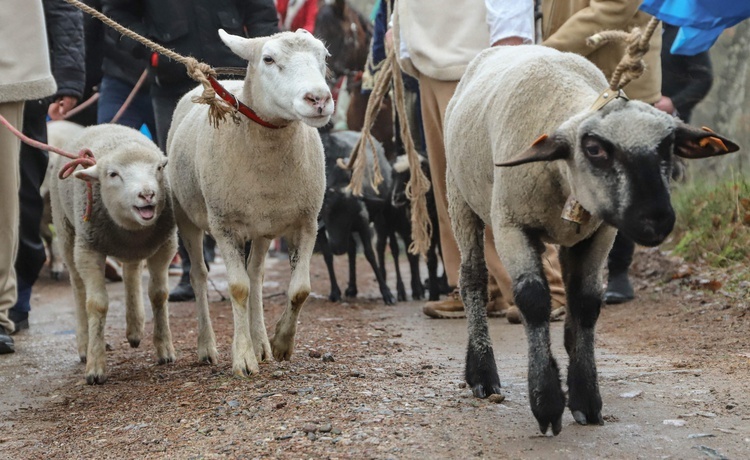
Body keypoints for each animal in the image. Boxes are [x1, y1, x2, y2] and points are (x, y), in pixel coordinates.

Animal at [50, 123, 179, 384]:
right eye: (113, 174)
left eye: (159, 168)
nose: (147, 194)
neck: (133, 230)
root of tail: (99, 125)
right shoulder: (89, 249)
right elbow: (96, 305)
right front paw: (95, 367)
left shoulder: (166, 244)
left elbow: (159, 294)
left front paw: (164, 349)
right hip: (66, 232)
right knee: (78, 287)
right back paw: (84, 345)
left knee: (131, 271)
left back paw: (135, 329)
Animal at [169, 29, 336, 378]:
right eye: (268, 59)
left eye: (324, 57)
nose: (319, 100)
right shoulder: (224, 225)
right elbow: (238, 288)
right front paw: (243, 357)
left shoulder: (307, 221)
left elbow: (299, 289)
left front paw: (281, 343)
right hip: (186, 216)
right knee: (199, 275)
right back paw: (207, 347)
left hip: (262, 228)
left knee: (256, 275)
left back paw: (261, 343)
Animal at [444, 45, 744, 436]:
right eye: (594, 149)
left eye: (667, 147)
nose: (656, 219)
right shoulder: (511, 223)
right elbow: (533, 300)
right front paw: (547, 402)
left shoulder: (602, 232)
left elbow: (586, 302)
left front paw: (585, 398)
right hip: (459, 197)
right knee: (473, 279)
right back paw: (482, 373)